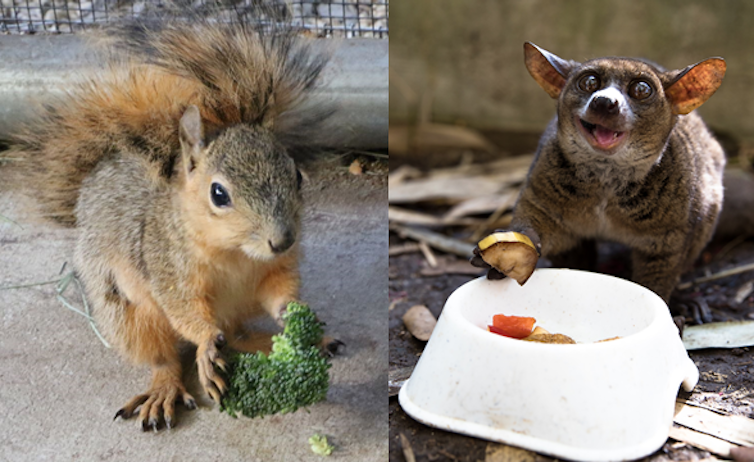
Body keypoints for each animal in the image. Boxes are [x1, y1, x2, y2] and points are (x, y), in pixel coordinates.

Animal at [5, 17, 328, 430]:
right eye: (218, 194)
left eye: (297, 176)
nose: (283, 240)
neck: (234, 253)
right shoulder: (168, 270)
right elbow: (185, 313)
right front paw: (206, 343)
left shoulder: (274, 268)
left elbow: (279, 290)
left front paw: (295, 315)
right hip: (126, 311)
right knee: (165, 357)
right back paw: (165, 388)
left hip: (236, 307)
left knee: (236, 334)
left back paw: (287, 341)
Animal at [470, 42, 724, 322]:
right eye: (589, 82)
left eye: (641, 89)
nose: (604, 102)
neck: (606, 176)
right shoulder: (543, 178)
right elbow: (540, 218)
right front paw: (504, 256)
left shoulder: (673, 220)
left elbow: (661, 263)